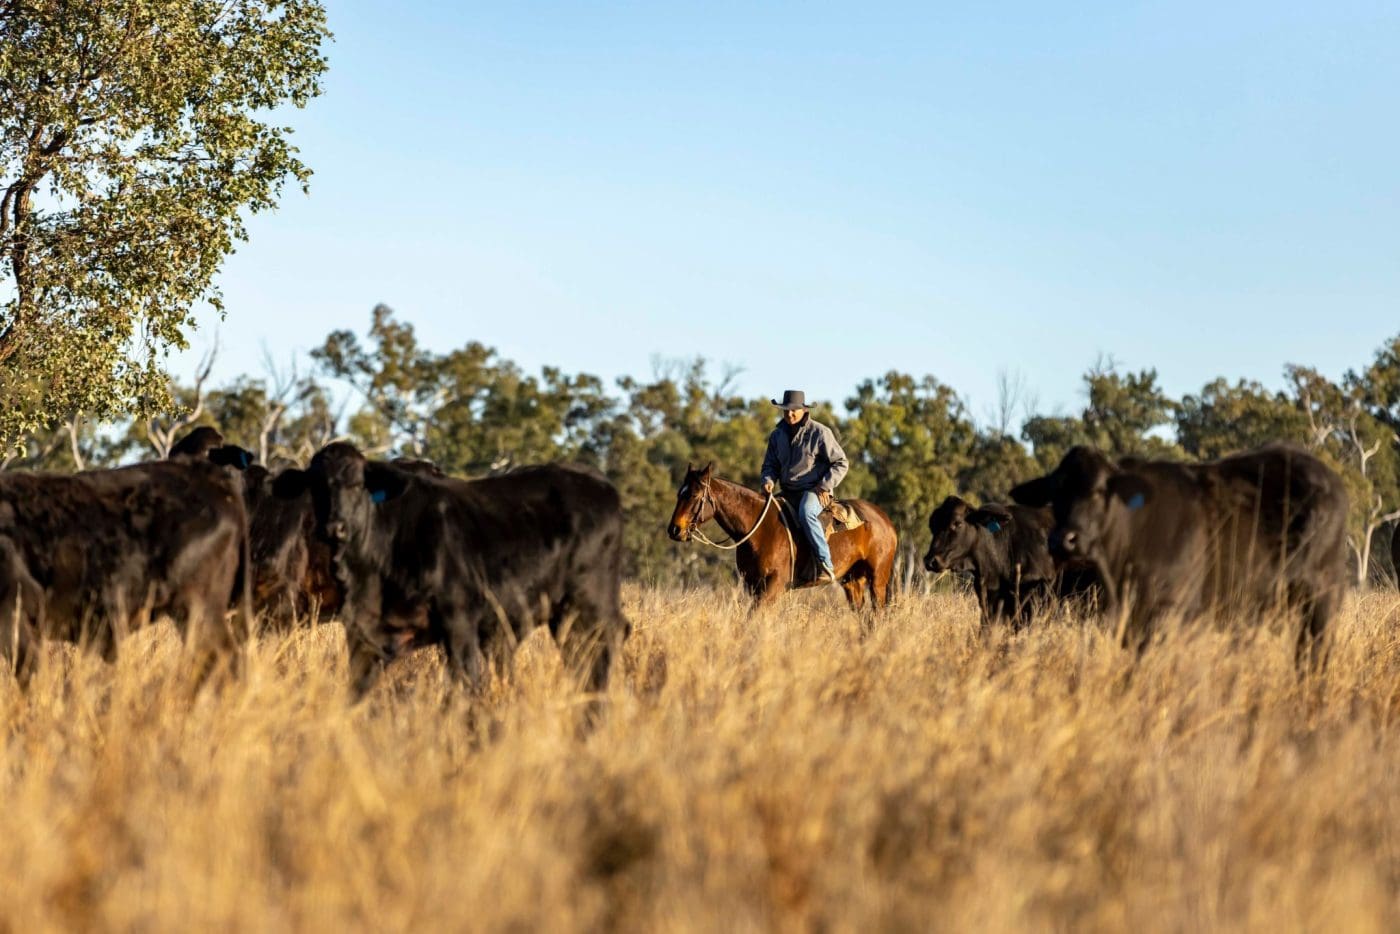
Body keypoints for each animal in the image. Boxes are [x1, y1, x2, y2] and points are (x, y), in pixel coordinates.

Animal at [273, 442, 630, 697]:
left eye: (357, 483)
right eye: (316, 488)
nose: (335, 527)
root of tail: (601, 484)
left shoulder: (460, 621)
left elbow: (467, 685)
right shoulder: (363, 632)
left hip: (589, 607)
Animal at [663, 464, 896, 610]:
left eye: (693, 495)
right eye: (679, 493)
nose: (674, 529)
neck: (759, 530)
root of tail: (885, 520)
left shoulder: (774, 584)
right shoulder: (754, 586)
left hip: (878, 579)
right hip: (852, 581)